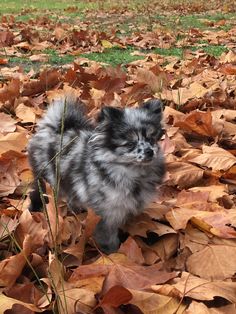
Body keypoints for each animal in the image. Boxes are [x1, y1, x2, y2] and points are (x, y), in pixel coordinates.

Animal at [28, 98, 166, 253]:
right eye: (130, 144)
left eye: (151, 139)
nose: (149, 151)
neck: (133, 172)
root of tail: (54, 127)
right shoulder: (108, 214)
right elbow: (108, 237)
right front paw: (113, 253)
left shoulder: (130, 207)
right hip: (45, 179)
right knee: (37, 192)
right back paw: (35, 209)